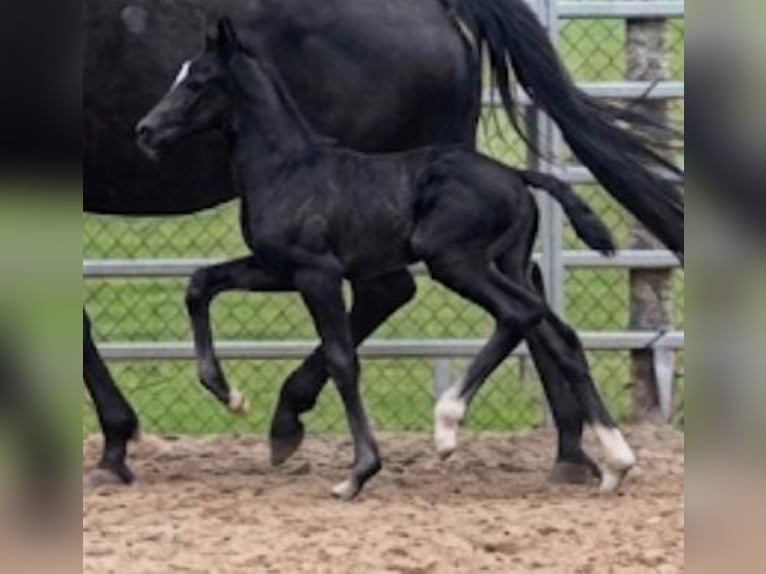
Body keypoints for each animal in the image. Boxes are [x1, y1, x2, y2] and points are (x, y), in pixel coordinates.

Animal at [84, 0, 682, 485]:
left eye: (198, 81)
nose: (145, 131)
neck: (290, 166)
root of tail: (516, 176)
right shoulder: (274, 267)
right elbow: (200, 283)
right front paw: (223, 394)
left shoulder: (315, 272)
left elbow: (342, 358)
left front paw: (359, 470)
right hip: (487, 257)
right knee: (545, 319)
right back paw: (597, 456)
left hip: (453, 259)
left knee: (507, 310)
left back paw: (452, 425)